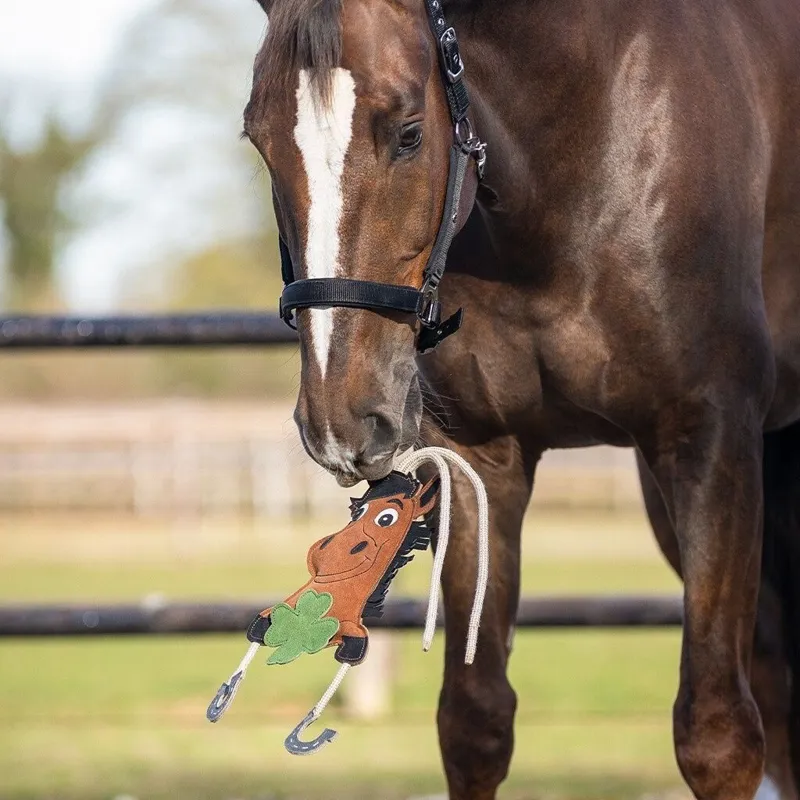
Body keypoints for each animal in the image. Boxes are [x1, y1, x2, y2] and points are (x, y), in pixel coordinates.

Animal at [241, 0, 800, 797]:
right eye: (260, 141)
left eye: (408, 132)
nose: (340, 423)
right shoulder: (483, 460)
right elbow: (475, 720)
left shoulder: (709, 440)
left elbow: (717, 737)